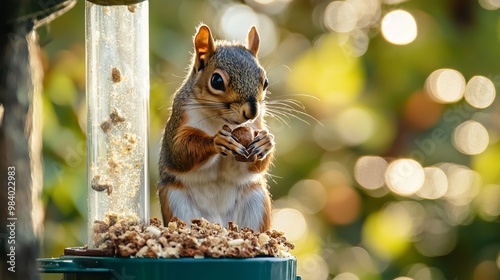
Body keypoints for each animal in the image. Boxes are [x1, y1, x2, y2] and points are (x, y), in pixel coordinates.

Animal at [158, 24, 276, 232]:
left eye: (265, 82)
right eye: (217, 81)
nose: (252, 112)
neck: (221, 120)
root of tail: (219, 223)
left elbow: (250, 167)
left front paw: (265, 142)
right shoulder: (180, 120)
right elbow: (179, 151)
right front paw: (217, 141)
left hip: (256, 199)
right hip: (174, 199)